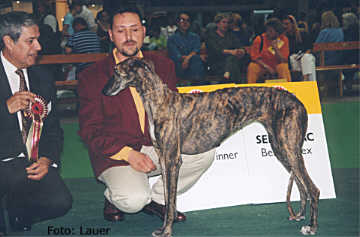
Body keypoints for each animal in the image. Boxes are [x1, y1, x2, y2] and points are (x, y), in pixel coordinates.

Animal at [103, 57, 320, 237]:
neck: (158, 100)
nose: (103, 92)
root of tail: (298, 102)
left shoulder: (172, 159)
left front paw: (167, 231)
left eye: (116, 71)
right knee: (301, 184)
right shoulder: (163, 159)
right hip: (281, 148)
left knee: (313, 189)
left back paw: (311, 227)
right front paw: (163, 227)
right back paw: (299, 216)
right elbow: (166, 197)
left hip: (288, 148)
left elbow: (171, 200)